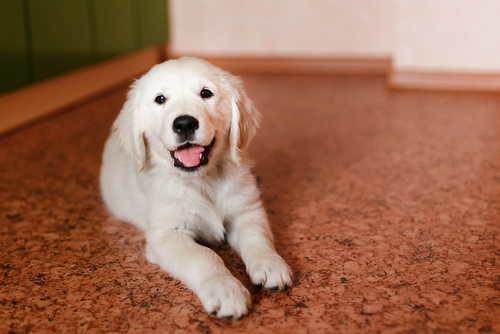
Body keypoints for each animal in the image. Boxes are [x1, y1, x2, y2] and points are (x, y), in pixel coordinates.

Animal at [100, 58, 292, 320]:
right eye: (160, 99)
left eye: (206, 93)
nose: (184, 124)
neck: (203, 180)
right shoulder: (166, 234)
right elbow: (203, 257)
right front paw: (225, 290)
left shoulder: (246, 211)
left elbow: (256, 236)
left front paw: (270, 263)